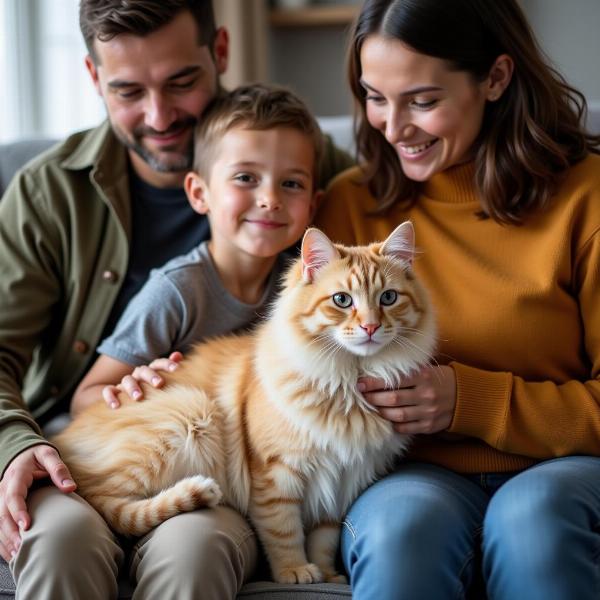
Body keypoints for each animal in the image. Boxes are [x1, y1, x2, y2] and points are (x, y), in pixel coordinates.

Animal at [52, 223, 436, 584]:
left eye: (388, 298)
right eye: (342, 300)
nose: (371, 327)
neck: (348, 384)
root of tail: (60, 439)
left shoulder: (342, 483)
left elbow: (323, 541)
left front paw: (327, 575)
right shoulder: (276, 473)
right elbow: (285, 532)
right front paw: (295, 571)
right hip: (187, 413)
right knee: (106, 504)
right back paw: (197, 490)